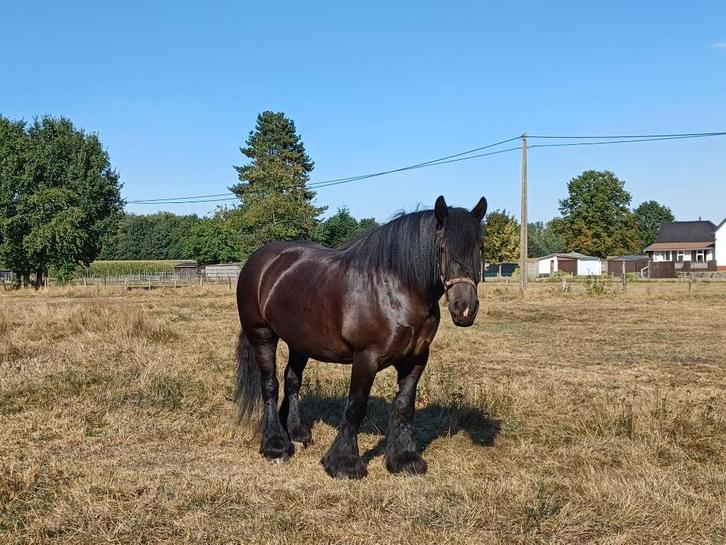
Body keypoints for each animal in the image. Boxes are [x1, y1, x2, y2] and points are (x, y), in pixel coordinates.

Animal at [234, 195, 487, 479]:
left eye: (480, 248)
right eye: (441, 248)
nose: (464, 308)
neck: (396, 289)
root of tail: (261, 260)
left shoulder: (416, 358)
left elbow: (404, 406)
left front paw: (405, 459)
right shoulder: (366, 358)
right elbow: (356, 406)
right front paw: (344, 463)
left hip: (300, 341)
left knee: (292, 382)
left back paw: (296, 433)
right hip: (262, 334)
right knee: (270, 384)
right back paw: (276, 445)